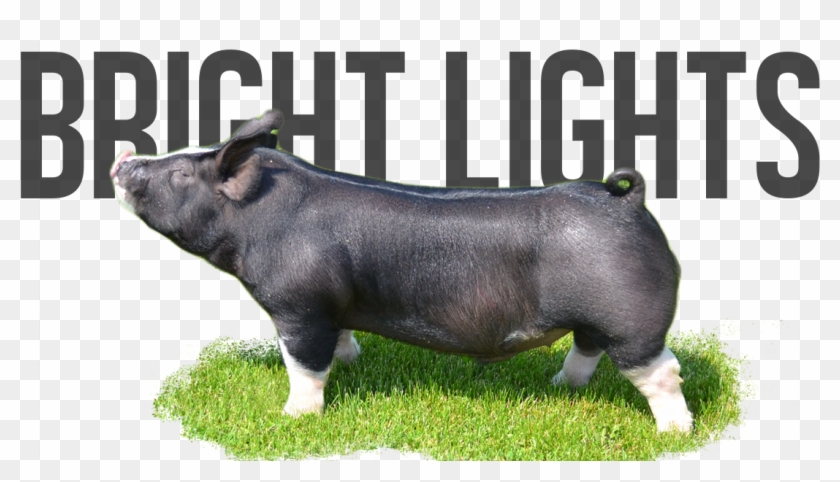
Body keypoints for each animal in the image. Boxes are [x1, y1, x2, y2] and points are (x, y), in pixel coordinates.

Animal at [111, 109, 693, 432]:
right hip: (597, 316)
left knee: (663, 371)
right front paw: (351, 364)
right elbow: (340, 340)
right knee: (587, 349)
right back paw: (558, 386)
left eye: (182, 173)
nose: (124, 158)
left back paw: (675, 434)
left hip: (629, 316)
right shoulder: (333, 305)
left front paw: (294, 419)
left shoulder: (299, 305)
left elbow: (303, 363)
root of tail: (626, 201)